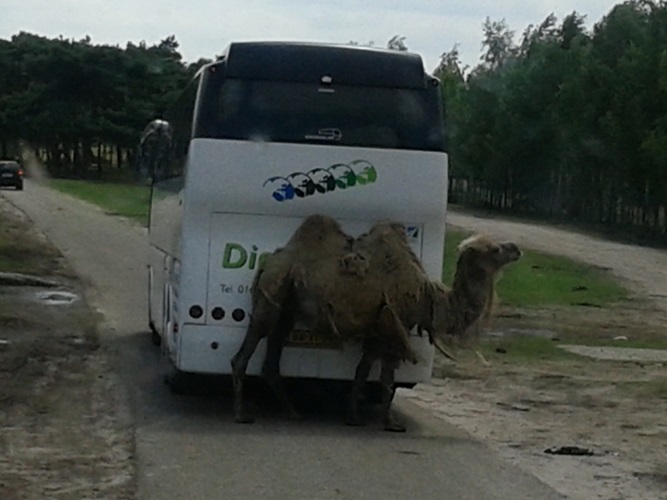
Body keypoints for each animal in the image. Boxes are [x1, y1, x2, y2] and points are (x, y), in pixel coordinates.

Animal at [232, 215, 524, 430]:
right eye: (495, 249)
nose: (516, 248)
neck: (427, 297)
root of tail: (268, 262)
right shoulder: (398, 324)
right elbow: (387, 376)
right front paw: (390, 422)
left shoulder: (377, 330)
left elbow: (363, 371)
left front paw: (353, 417)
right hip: (271, 295)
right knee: (248, 347)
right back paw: (242, 414)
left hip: (287, 306)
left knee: (273, 353)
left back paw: (292, 412)